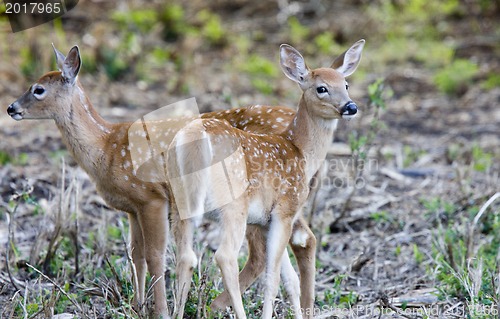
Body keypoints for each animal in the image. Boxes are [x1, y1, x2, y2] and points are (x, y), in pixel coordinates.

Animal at [7, 44, 324, 318]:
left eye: (38, 89)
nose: (11, 108)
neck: (106, 147)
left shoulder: (152, 197)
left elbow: (156, 255)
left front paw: (159, 310)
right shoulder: (132, 207)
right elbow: (136, 254)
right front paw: (138, 306)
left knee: (266, 251)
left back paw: (215, 306)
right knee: (301, 240)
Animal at [166, 40, 366, 319]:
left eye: (346, 84)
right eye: (322, 88)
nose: (350, 107)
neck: (300, 151)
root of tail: (195, 139)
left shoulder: (265, 220)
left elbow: (288, 278)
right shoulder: (285, 210)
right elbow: (273, 278)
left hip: (179, 202)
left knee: (185, 257)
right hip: (233, 204)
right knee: (225, 256)